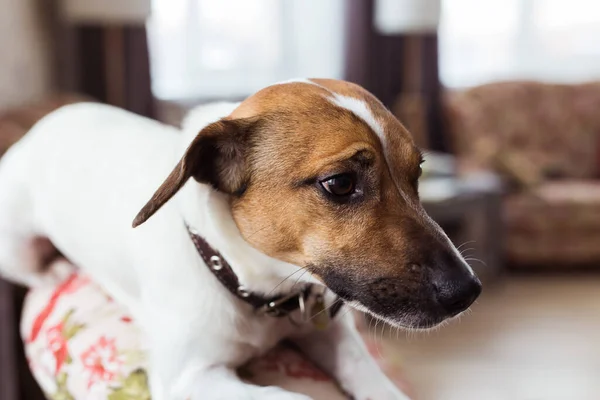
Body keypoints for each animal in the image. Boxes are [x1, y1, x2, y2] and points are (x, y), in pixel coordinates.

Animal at [0, 79, 480, 400]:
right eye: (340, 183)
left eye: (417, 174)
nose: (468, 292)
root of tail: (49, 122)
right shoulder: (190, 378)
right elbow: (291, 397)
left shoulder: (333, 335)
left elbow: (371, 377)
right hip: (16, 244)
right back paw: (55, 270)